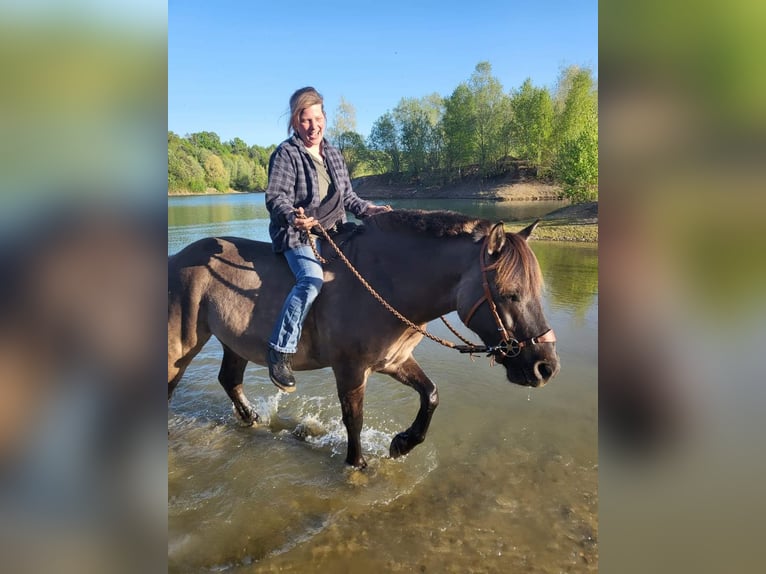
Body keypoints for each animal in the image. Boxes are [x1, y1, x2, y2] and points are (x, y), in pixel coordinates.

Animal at [170, 209, 560, 470]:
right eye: (510, 294)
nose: (546, 367)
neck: (382, 284)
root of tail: (177, 258)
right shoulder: (350, 369)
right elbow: (353, 419)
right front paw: (357, 465)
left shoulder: (395, 361)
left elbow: (431, 395)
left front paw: (402, 443)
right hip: (182, 347)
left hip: (233, 344)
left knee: (230, 380)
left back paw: (252, 419)